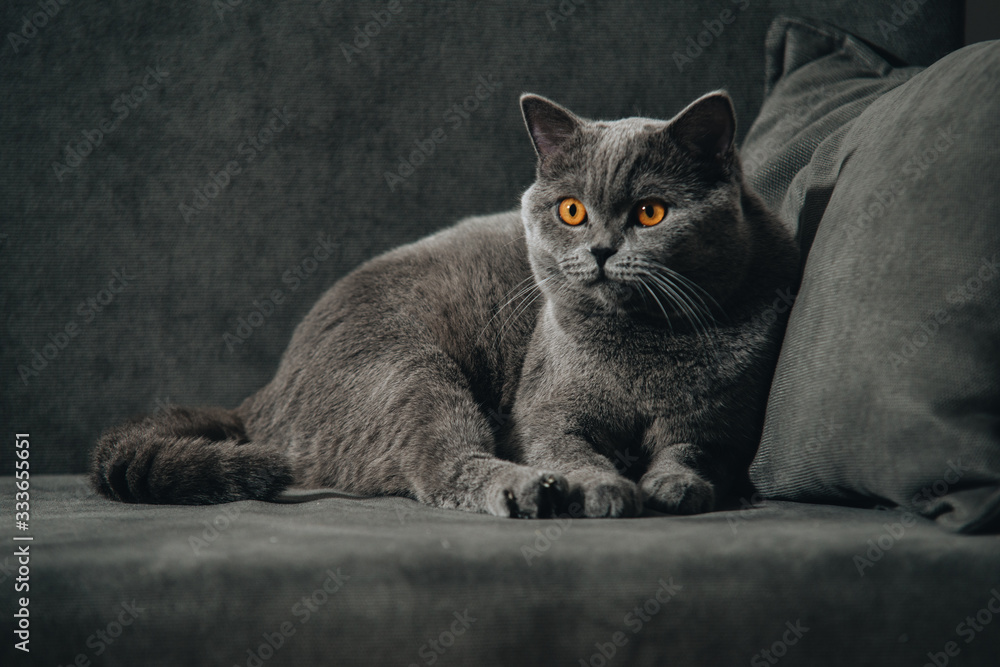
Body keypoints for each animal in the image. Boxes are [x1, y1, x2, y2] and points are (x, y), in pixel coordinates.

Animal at [92, 91, 796, 520]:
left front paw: (674, 485)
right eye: (571, 210)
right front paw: (602, 487)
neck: (644, 349)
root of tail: (263, 392)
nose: (598, 249)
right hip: (405, 370)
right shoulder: (543, 411)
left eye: (651, 212)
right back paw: (534, 491)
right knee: (442, 466)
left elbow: (695, 446)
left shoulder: (725, 421)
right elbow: (567, 447)